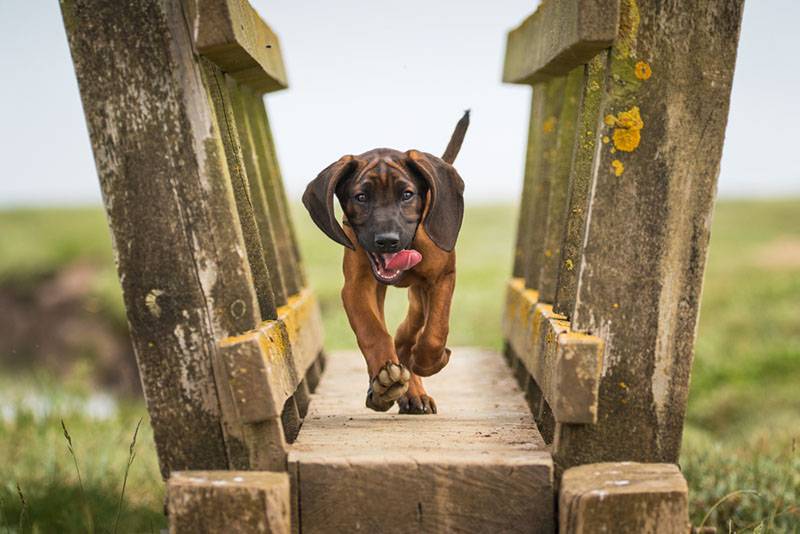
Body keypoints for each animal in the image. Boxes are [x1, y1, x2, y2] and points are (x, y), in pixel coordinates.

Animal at [304, 112, 468, 414]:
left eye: (407, 194)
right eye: (361, 197)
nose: (387, 241)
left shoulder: (442, 277)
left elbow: (435, 331)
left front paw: (430, 361)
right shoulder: (357, 287)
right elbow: (372, 330)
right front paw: (385, 382)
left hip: (420, 293)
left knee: (411, 330)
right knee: (397, 336)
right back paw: (392, 388)